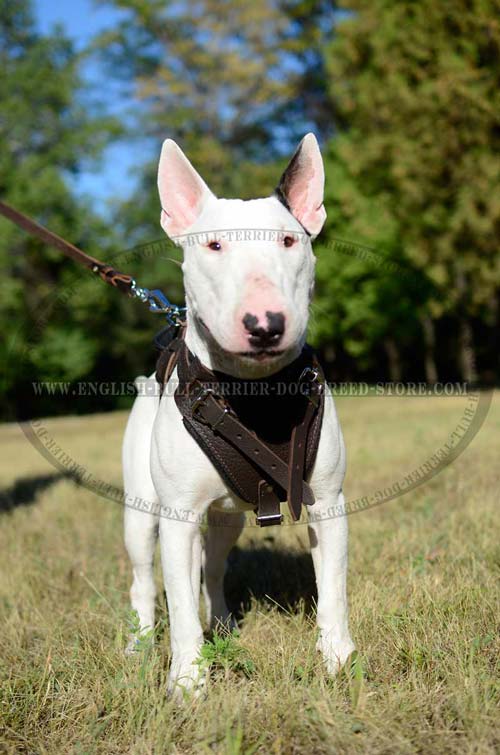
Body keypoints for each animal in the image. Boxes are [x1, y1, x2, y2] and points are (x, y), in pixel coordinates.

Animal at [121, 136, 356, 696]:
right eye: (214, 247)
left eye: (290, 241)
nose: (265, 324)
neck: (253, 393)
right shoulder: (178, 517)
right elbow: (181, 606)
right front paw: (188, 681)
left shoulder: (327, 502)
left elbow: (332, 588)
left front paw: (337, 657)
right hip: (141, 514)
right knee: (145, 580)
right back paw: (141, 642)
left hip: (228, 515)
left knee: (213, 569)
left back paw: (224, 625)